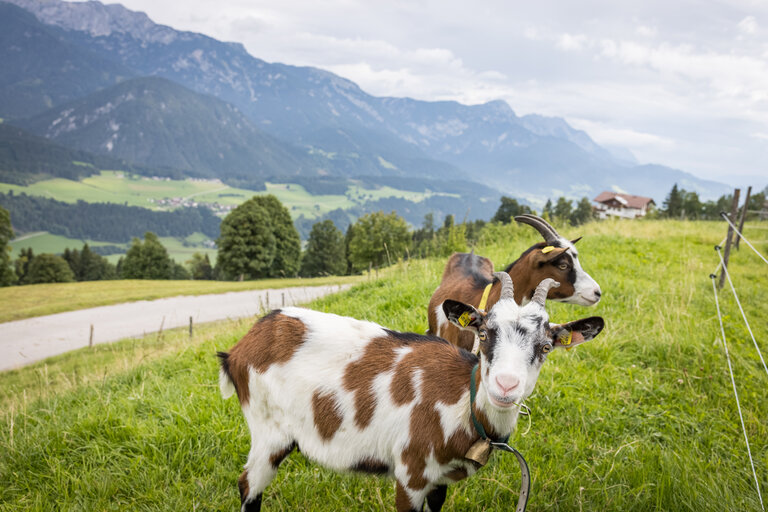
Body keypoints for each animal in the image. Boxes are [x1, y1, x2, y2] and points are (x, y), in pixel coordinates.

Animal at [218, 273, 604, 512]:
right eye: (483, 333)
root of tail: (240, 348)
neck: (462, 400)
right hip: (269, 432)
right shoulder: (411, 473)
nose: (505, 386)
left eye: (545, 347)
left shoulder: (438, 480)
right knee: (249, 487)